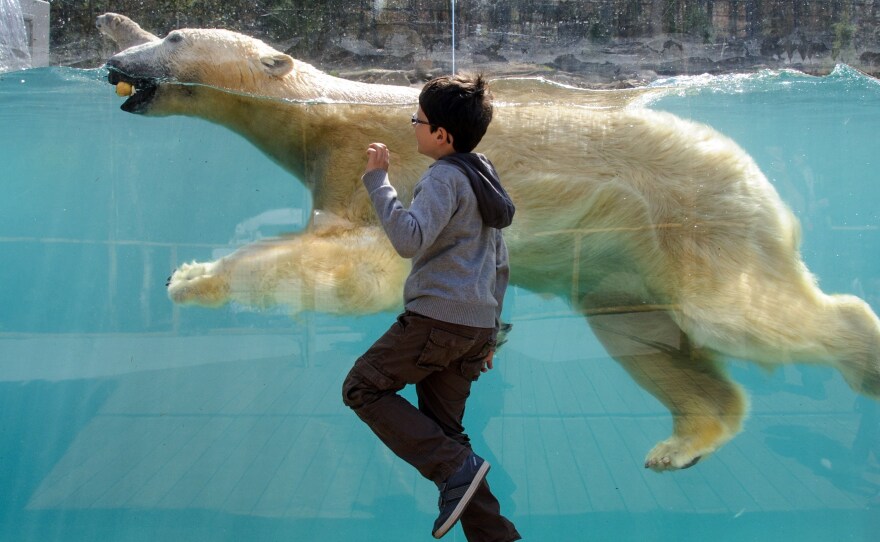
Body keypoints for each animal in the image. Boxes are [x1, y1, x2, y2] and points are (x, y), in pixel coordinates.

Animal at [105, 27, 880, 472]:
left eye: (172, 35)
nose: (114, 56)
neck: (326, 108)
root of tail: (748, 169)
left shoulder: (368, 157)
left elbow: (360, 267)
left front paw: (190, 276)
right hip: (621, 261)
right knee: (644, 335)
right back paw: (680, 444)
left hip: (694, 218)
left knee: (749, 316)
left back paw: (863, 358)